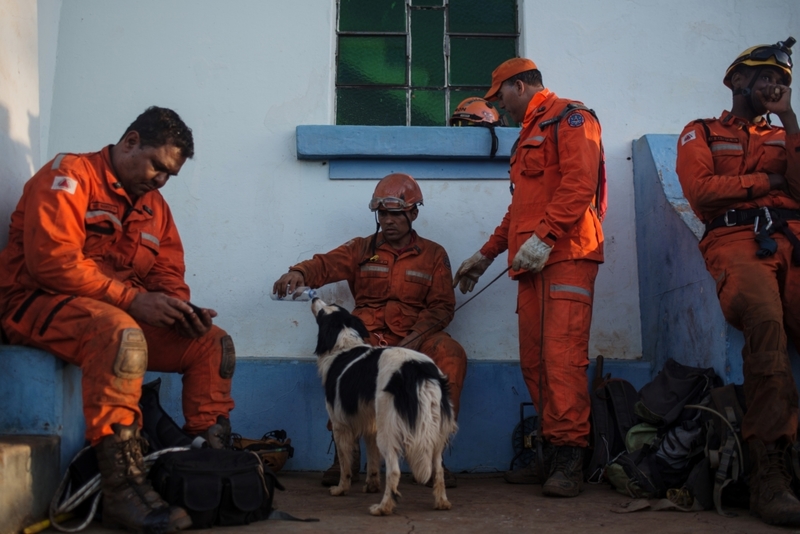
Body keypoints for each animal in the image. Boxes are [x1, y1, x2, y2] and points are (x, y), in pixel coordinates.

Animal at [314, 300, 460, 516]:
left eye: (322, 312)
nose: (314, 298)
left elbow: (345, 463)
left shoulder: (340, 424)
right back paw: (442, 502)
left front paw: (341, 489)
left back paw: (383, 507)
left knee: (394, 471)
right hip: (436, 430)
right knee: (438, 470)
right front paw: (371, 485)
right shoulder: (371, 424)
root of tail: (416, 369)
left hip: (389, 430)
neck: (344, 342)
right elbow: (373, 460)